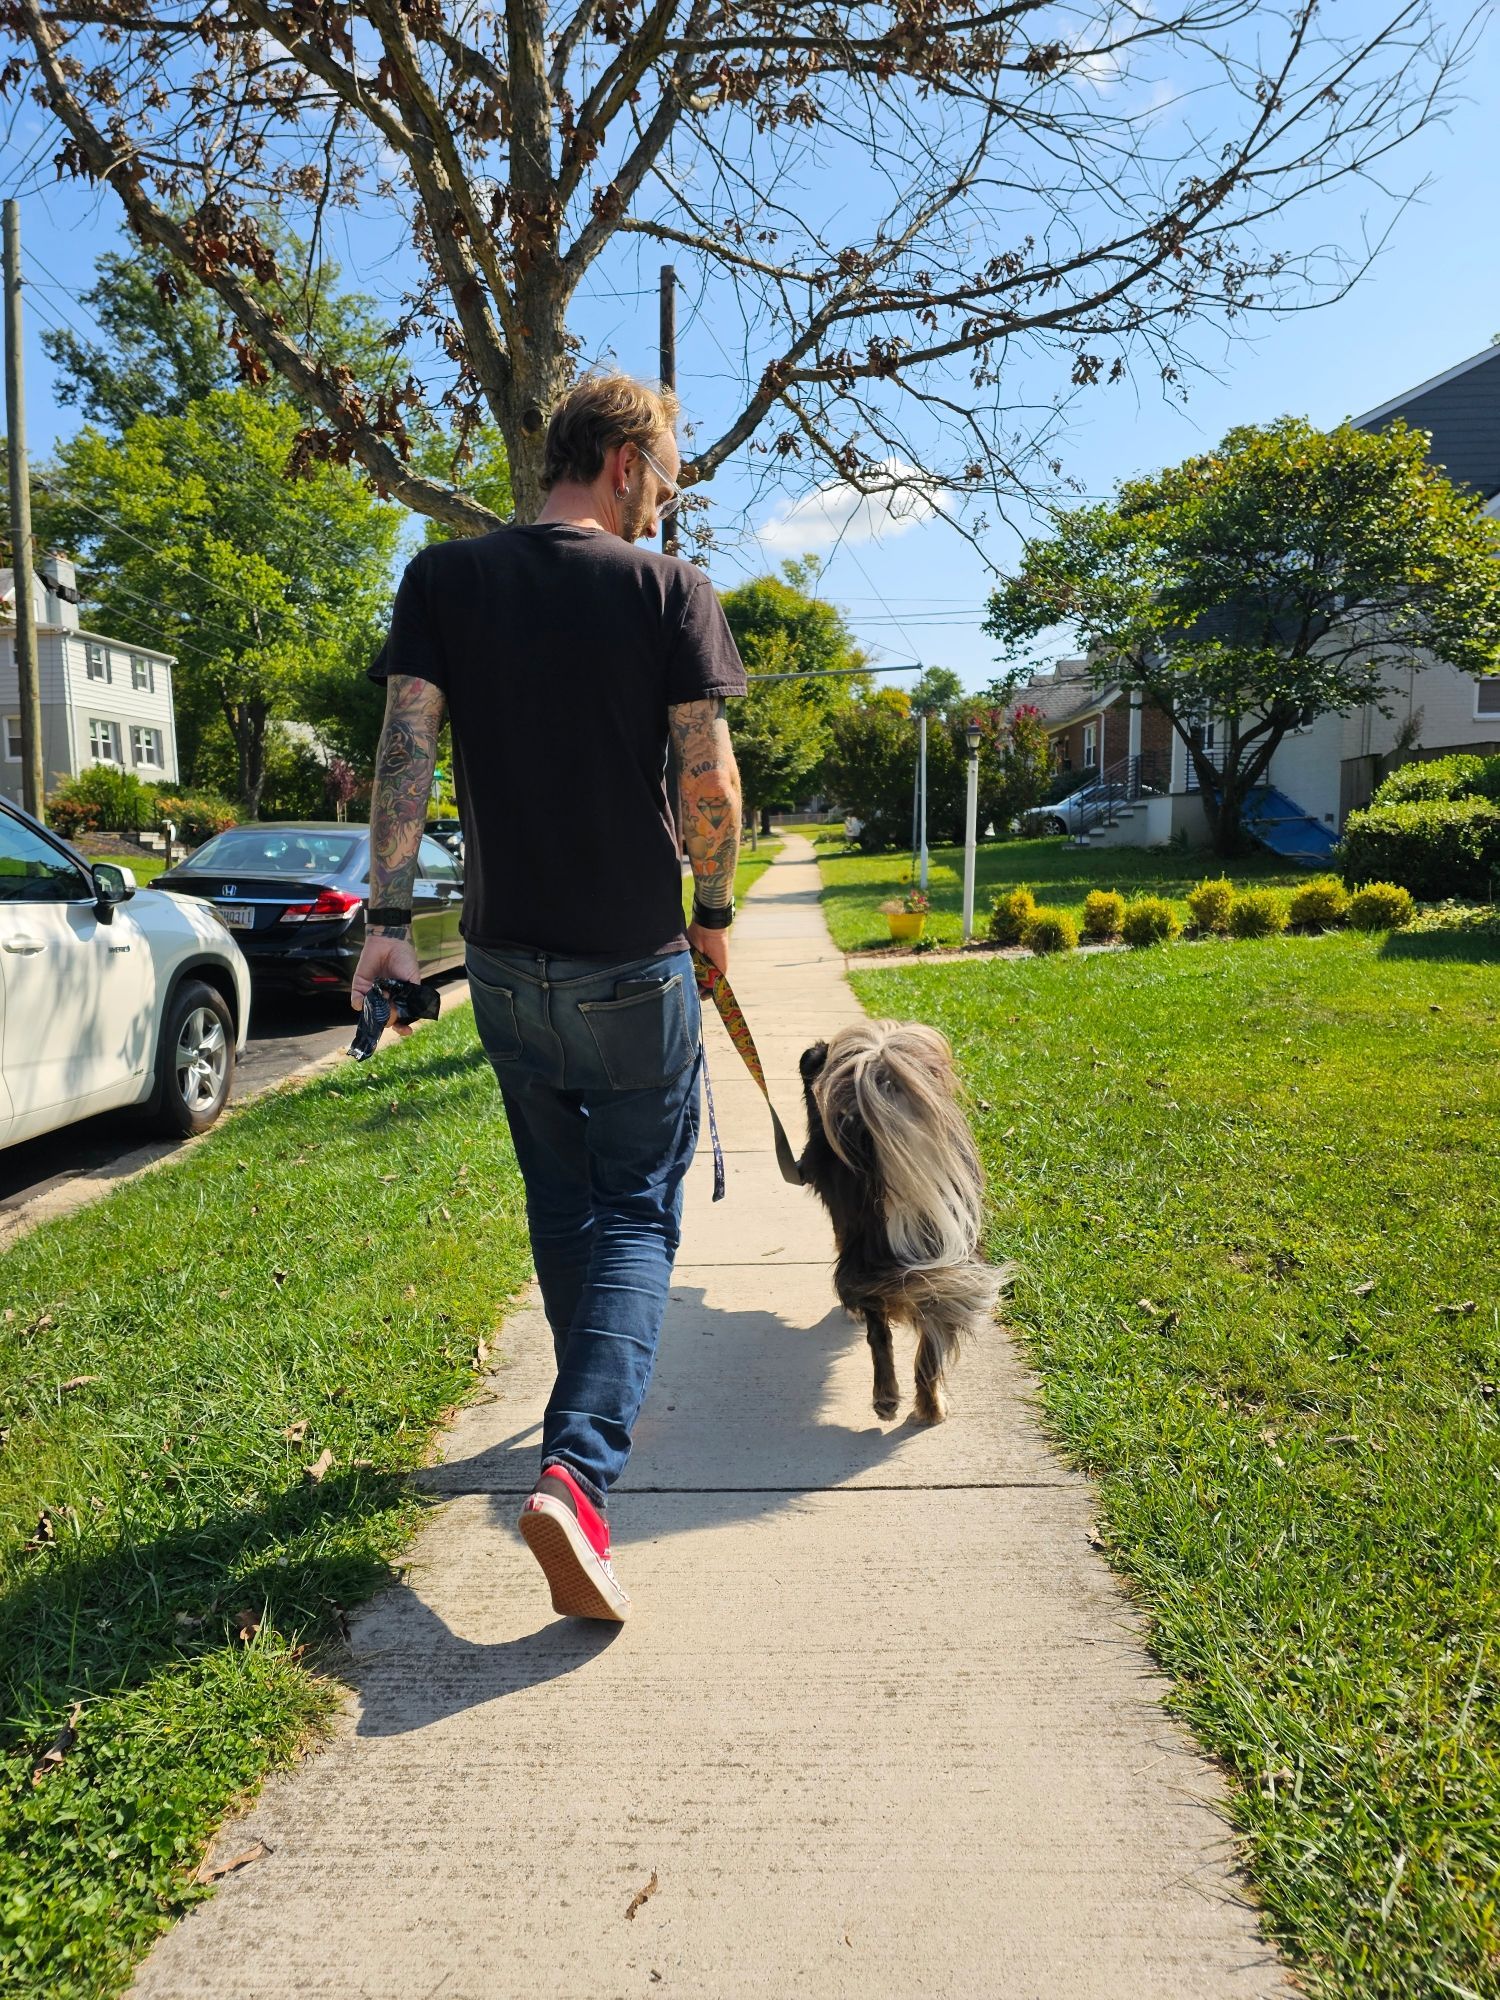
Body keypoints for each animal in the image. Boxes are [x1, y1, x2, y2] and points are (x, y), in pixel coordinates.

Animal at [804, 1024, 1004, 1432]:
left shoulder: (840, 1221)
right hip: (948, 1256)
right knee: (932, 1337)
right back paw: (929, 1407)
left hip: (869, 1260)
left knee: (880, 1334)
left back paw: (888, 1399)